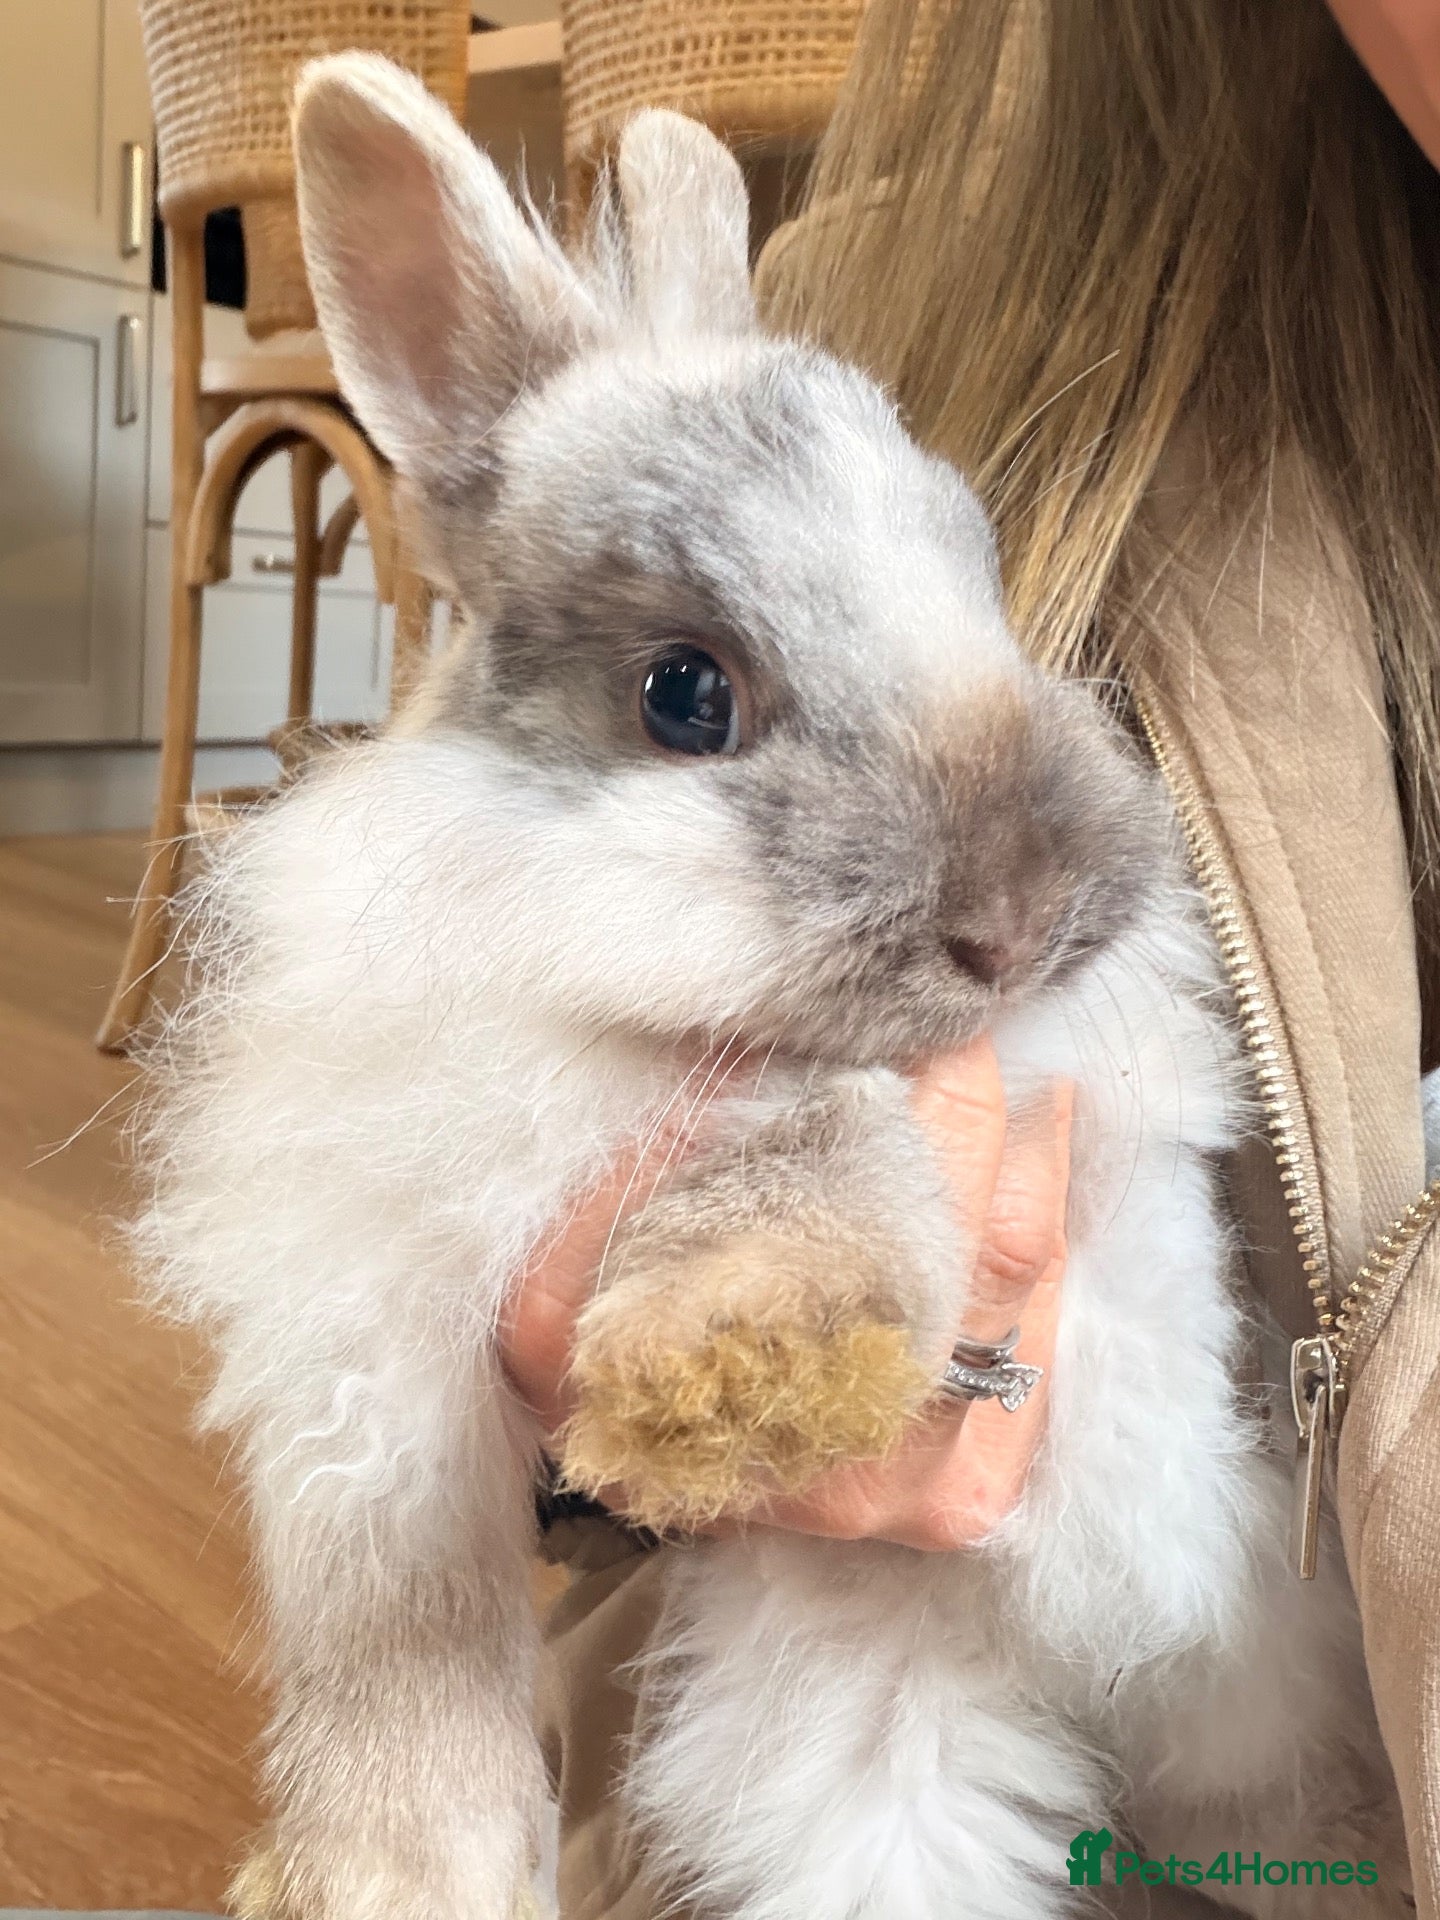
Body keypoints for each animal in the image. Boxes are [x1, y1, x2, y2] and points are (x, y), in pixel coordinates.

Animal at [135, 52, 1407, 1920]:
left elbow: (830, 1138)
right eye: (685, 693)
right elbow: (402, 1651)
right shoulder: (371, 1369)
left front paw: (725, 1368)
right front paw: (388, 1872)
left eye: (980, 580)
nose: (1017, 918)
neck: (615, 1013)